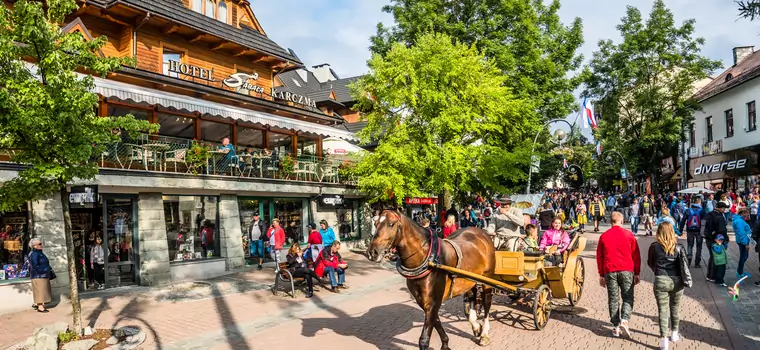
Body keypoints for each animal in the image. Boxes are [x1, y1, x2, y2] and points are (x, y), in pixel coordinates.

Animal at [368, 209, 498, 348]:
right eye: (375, 223)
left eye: (391, 224)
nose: (372, 252)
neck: (427, 258)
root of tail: (481, 232)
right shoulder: (423, 300)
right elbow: (436, 321)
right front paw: (445, 344)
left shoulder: (433, 301)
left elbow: (424, 339)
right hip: (469, 279)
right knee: (472, 296)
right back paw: (476, 326)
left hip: (487, 278)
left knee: (487, 302)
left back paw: (484, 334)